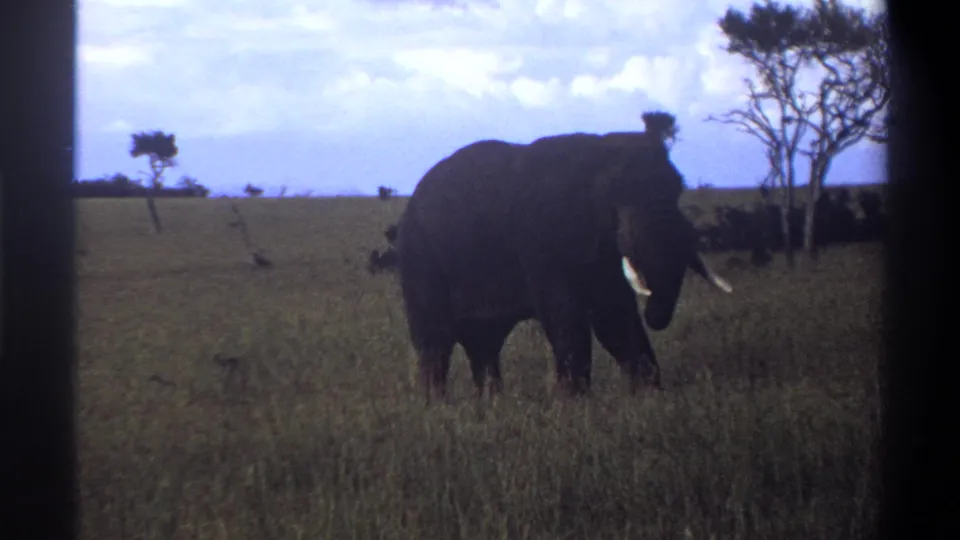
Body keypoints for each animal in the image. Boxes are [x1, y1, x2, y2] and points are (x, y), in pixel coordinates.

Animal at [395, 129, 732, 402]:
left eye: (678, 189)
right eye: (616, 197)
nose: (656, 317)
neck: (595, 154)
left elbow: (614, 318)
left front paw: (650, 396)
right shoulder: (542, 238)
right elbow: (567, 315)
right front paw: (575, 404)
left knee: (483, 342)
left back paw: (491, 405)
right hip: (420, 258)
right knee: (435, 340)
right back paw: (436, 407)